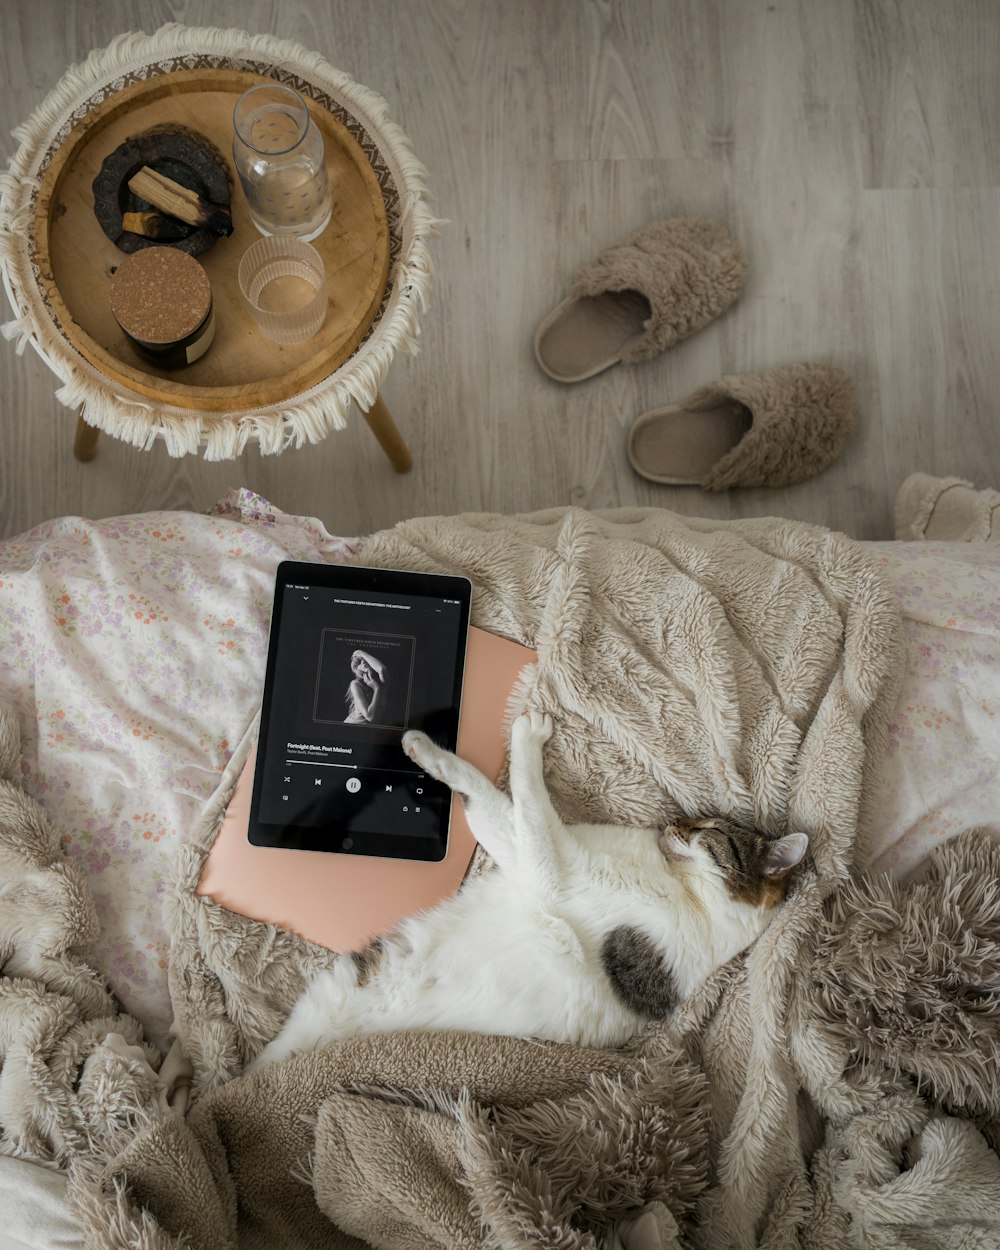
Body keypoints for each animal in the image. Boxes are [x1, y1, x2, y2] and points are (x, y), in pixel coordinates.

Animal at [246, 715, 810, 1075]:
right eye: (698, 818)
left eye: (710, 830)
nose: (672, 823)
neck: (682, 887)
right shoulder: (527, 858)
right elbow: (488, 796)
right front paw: (424, 749)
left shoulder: (550, 869)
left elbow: (530, 799)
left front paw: (529, 733)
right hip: (325, 1001)